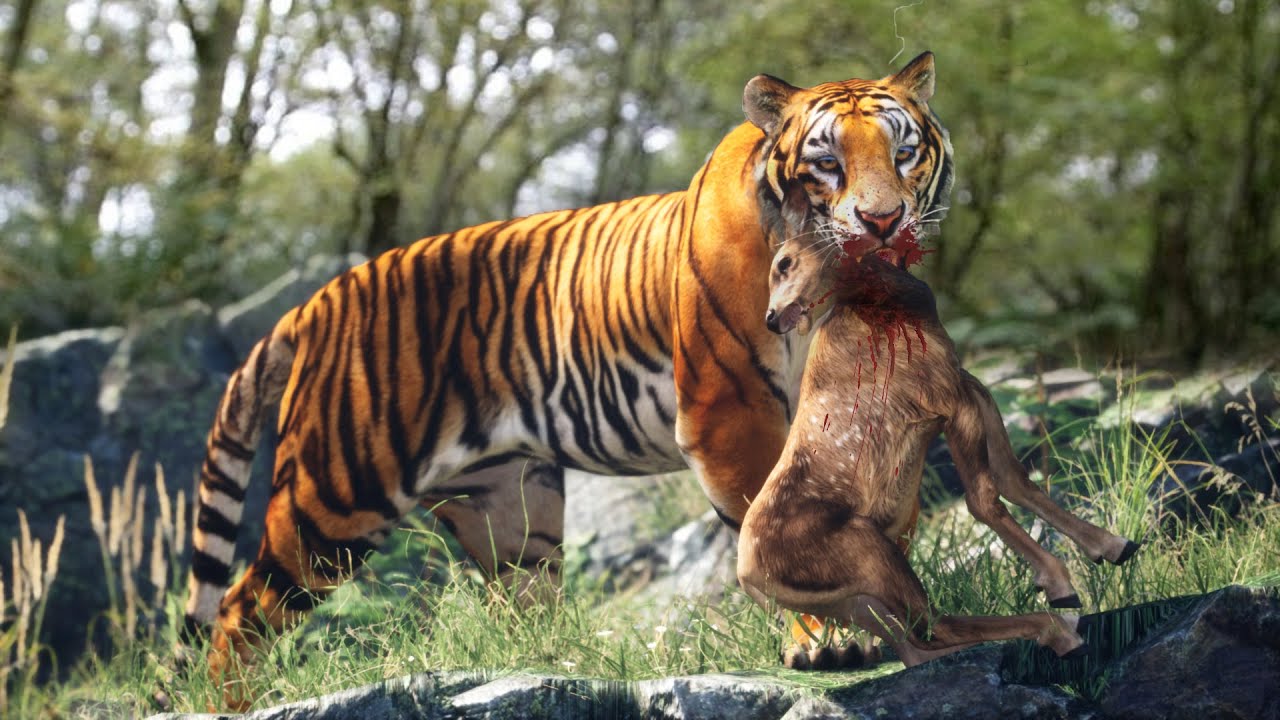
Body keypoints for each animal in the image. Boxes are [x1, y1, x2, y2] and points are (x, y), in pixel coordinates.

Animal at [183, 51, 953, 702]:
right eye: (826, 161)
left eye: (903, 151)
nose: (882, 221)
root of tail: (316, 301)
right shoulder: (729, 413)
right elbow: (778, 532)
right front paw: (830, 644)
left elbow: (885, 523)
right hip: (337, 493)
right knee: (237, 609)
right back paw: (231, 704)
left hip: (509, 504)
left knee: (517, 606)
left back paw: (547, 670)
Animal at [737, 238, 1140, 669]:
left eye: (784, 263)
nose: (771, 318)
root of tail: (749, 579)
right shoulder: (947, 396)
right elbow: (983, 497)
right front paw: (1060, 584)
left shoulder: (967, 381)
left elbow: (1014, 478)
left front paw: (1114, 546)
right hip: (870, 551)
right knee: (933, 625)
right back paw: (1060, 629)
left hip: (855, 599)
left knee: (915, 646)